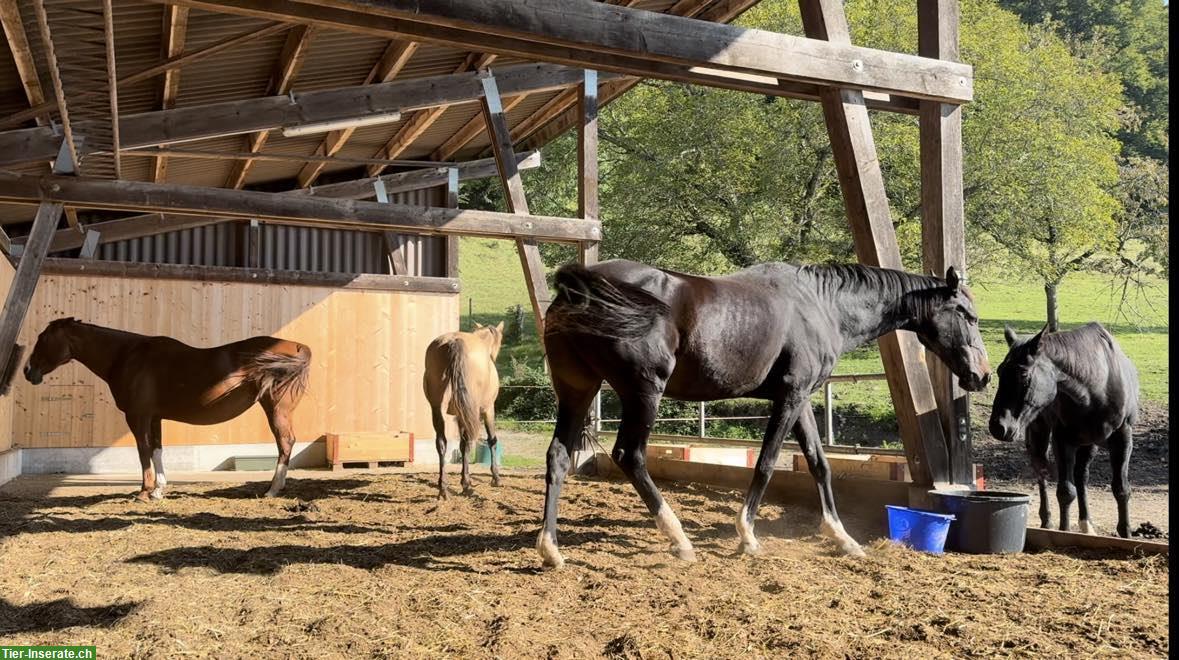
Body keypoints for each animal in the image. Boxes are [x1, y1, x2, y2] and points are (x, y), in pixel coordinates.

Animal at [23, 318, 313, 499]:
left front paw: (144, 492)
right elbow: (157, 450)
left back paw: (272, 490)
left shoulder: (137, 416)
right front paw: (159, 490)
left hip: (276, 408)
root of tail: (297, 346)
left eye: (43, 338)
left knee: (285, 442)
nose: (28, 371)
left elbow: (143, 451)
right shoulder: (155, 417)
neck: (126, 356)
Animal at [426, 320, 504, 499]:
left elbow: (461, 445)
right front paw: (495, 477)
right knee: (469, 441)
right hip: (474, 410)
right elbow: (491, 440)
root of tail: (454, 342)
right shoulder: (488, 409)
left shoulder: (459, 415)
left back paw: (443, 488)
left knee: (441, 443)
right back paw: (467, 486)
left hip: (437, 409)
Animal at [539, 258, 990, 568]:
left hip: (578, 390)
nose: (982, 375)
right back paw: (679, 539)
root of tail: (580, 290)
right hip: (644, 392)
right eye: (967, 315)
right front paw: (747, 536)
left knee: (558, 457)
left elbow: (820, 464)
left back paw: (551, 548)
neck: (821, 306)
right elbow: (768, 462)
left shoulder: (802, 398)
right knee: (629, 455)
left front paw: (842, 538)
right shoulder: (789, 397)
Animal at [990, 322, 1136, 537]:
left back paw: (1086, 524)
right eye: (1000, 371)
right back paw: (1047, 519)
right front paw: (1063, 530)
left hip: (1089, 442)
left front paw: (1125, 533)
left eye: (1023, 374)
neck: (1094, 387)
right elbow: (1066, 492)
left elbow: (1121, 488)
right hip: (1039, 432)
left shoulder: (1122, 437)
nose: (998, 427)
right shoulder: (1062, 439)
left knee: (1081, 476)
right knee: (1041, 470)